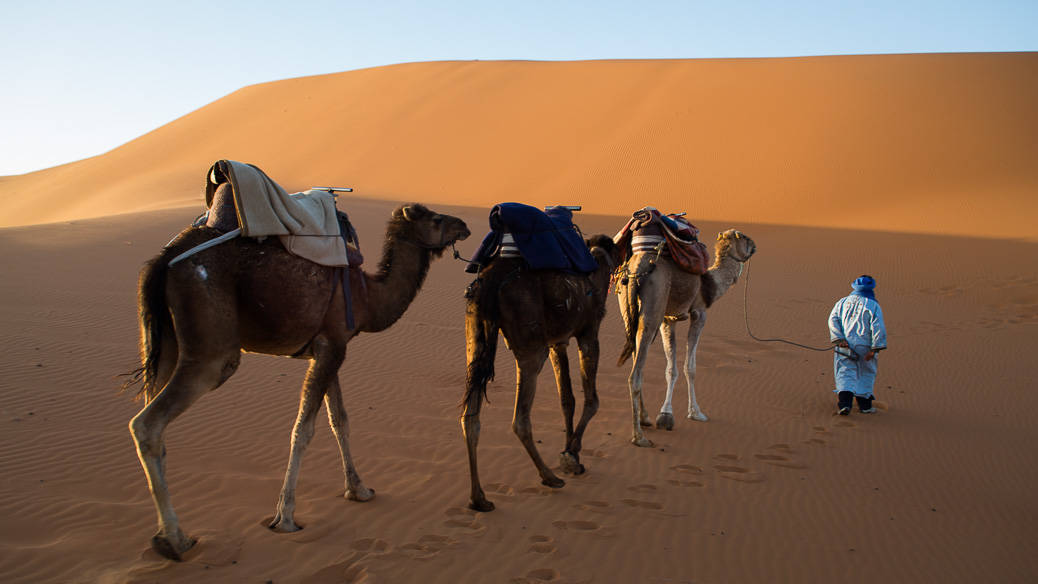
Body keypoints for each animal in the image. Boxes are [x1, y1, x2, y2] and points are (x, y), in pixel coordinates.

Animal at [123, 203, 473, 560]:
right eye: (436, 219)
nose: (464, 225)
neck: (367, 295)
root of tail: (163, 261)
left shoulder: (328, 349)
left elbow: (339, 420)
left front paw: (358, 489)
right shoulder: (332, 346)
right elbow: (303, 429)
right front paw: (285, 517)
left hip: (165, 345)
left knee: (154, 417)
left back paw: (163, 534)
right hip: (211, 352)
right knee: (147, 424)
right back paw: (175, 539)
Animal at [465, 233, 622, 512]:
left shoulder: (557, 342)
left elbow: (567, 399)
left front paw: (572, 453)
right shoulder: (588, 332)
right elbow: (592, 400)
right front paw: (571, 455)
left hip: (475, 334)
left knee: (469, 417)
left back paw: (479, 498)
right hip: (531, 346)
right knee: (520, 419)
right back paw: (549, 477)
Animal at [614, 228, 755, 448]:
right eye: (744, 237)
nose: (754, 246)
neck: (710, 284)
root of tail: (637, 266)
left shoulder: (668, 319)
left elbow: (671, 369)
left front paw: (665, 415)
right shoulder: (699, 313)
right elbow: (691, 367)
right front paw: (696, 413)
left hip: (629, 309)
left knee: (637, 357)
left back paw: (645, 419)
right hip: (652, 309)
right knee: (635, 375)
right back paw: (639, 437)